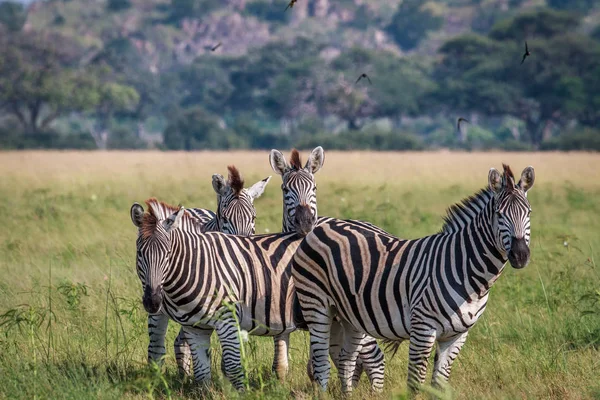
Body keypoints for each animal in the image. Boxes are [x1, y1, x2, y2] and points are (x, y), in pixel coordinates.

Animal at [290, 164, 536, 392]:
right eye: (499, 214)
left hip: (349, 315)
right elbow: (415, 383)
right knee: (321, 363)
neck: (469, 273)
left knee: (346, 360)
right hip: (316, 305)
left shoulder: (457, 336)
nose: (520, 255)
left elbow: (439, 384)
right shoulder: (423, 328)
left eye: (529, 213)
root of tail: (320, 226)